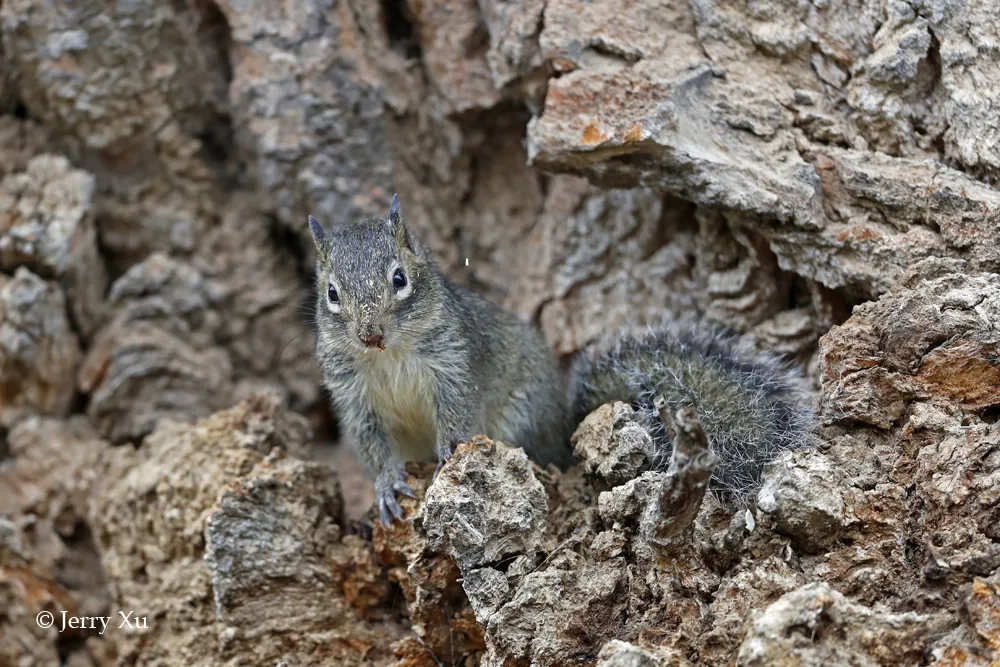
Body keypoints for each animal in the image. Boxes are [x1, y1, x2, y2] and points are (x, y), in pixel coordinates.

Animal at [308, 196, 816, 524]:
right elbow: (373, 444)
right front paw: (386, 484)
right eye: (331, 293)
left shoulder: (453, 362)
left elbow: (457, 410)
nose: (370, 335)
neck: (389, 357)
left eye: (399, 278)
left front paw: (450, 451)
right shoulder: (353, 395)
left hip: (522, 419)